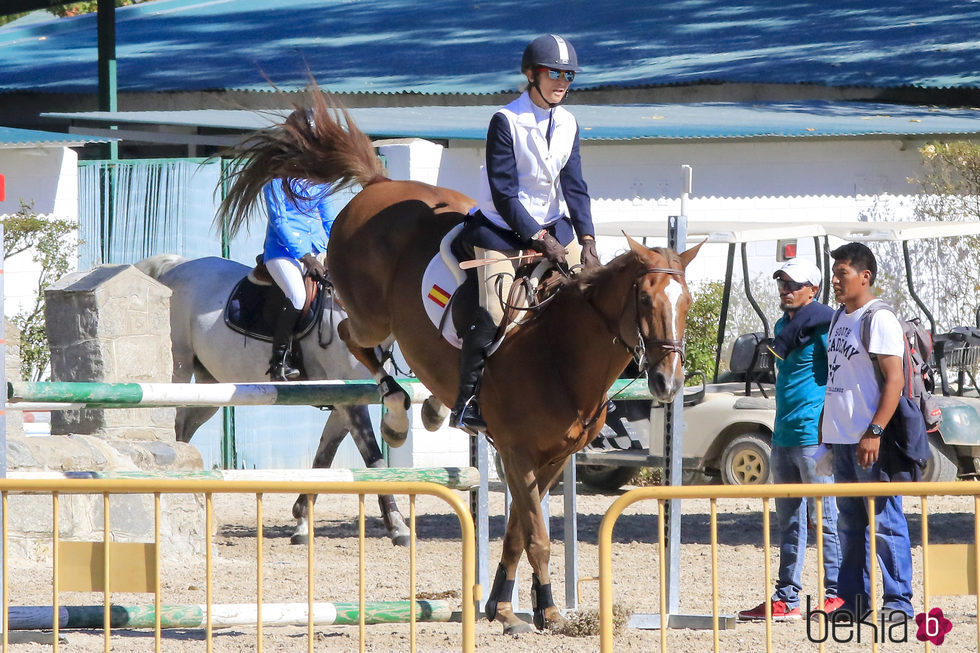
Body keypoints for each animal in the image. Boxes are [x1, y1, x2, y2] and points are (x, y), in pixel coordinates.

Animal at [218, 94, 700, 636]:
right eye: (645, 299)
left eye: (686, 303)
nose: (667, 381)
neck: (561, 348)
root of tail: (380, 184)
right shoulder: (516, 450)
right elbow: (536, 534)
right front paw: (544, 610)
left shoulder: (555, 456)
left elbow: (518, 531)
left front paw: (503, 606)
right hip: (369, 316)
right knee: (353, 339)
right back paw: (399, 412)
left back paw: (430, 409)